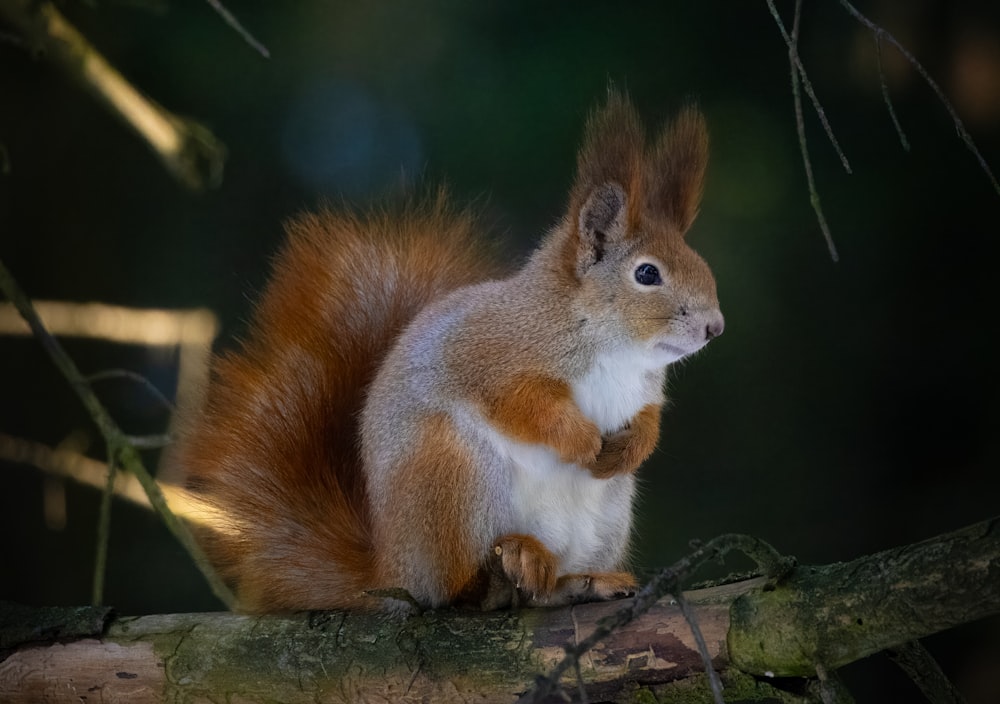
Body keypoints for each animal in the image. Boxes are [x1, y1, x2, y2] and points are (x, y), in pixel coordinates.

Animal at [174, 92, 728, 612]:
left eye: (700, 262)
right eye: (647, 273)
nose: (715, 327)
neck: (615, 349)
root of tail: (392, 569)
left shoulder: (643, 393)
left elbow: (649, 420)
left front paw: (628, 448)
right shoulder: (490, 354)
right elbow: (521, 405)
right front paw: (581, 439)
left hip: (608, 511)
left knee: (543, 590)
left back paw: (580, 582)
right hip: (453, 476)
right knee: (452, 590)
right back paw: (498, 576)